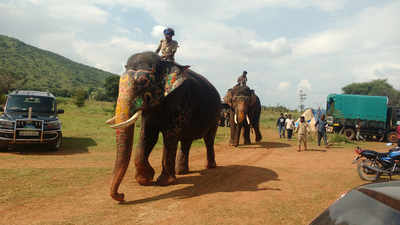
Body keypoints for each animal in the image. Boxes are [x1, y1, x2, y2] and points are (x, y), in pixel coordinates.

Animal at [105, 51, 222, 202]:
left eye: (143, 81)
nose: (122, 195)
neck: (163, 63)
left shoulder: (180, 99)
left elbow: (169, 136)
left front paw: (164, 182)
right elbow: (148, 135)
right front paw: (145, 179)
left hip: (216, 115)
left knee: (208, 139)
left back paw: (209, 167)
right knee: (186, 141)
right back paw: (182, 172)